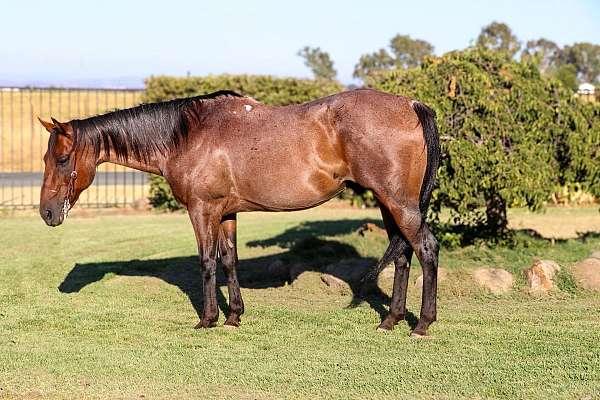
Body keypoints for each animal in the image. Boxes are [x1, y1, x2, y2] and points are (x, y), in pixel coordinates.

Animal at [38, 89, 440, 336]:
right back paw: (391, 320)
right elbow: (230, 261)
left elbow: (207, 263)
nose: (47, 213)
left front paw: (208, 319)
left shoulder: (202, 211)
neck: (188, 135)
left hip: (398, 203)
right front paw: (234, 316)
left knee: (426, 249)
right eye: (45, 158)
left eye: (63, 159)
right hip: (389, 204)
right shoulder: (227, 213)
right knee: (402, 255)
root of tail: (410, 105)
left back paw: (422, 325)